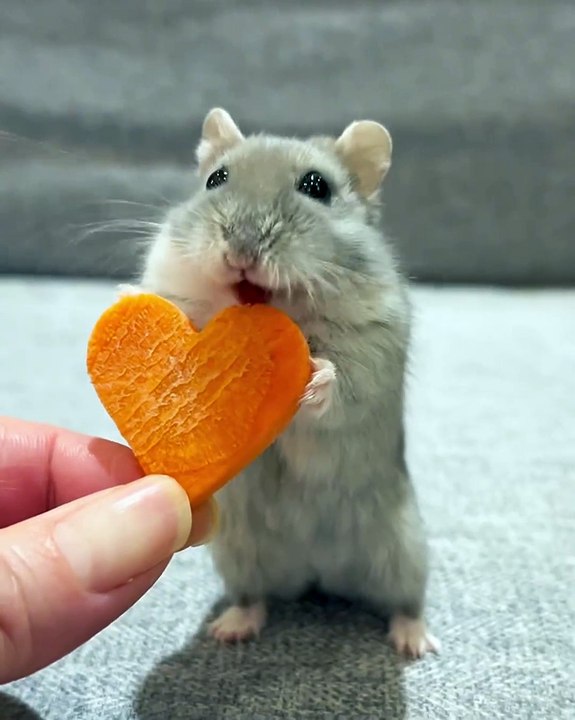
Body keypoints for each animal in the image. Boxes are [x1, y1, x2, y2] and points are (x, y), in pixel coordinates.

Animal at [132, 108, 439, 659]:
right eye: (216, 179)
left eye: (316, 187)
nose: (241, 249)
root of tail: (317, 573)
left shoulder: (374, 346)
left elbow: (345, 384)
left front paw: (314, 376)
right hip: (237, 554)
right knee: (255, 599)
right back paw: (231, 628)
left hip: (405, 550)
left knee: (405, 602)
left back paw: (416, 641)